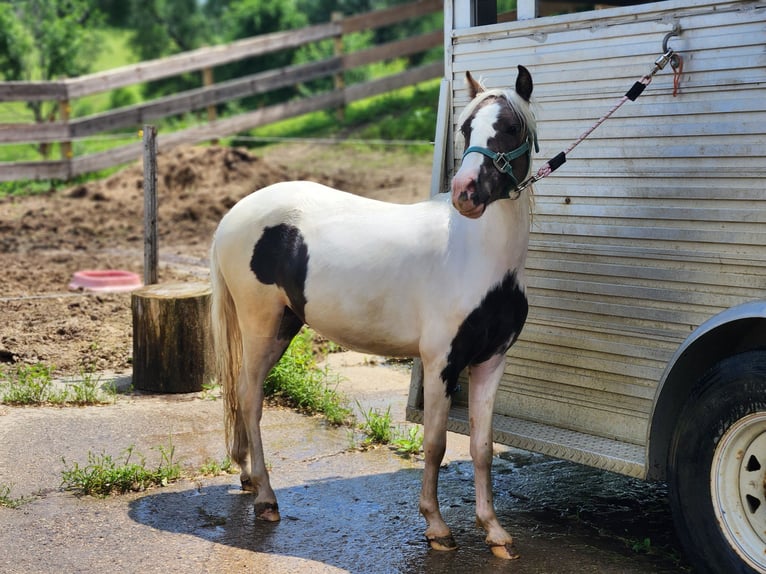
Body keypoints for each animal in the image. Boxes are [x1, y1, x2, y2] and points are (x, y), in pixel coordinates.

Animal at [207, 64, 536, 564]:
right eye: (466, 128)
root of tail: (233, 215)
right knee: (249, 398)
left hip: (282, 326)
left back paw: (248, 479)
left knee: (244, 399)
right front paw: (437, 528)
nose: (465, 194)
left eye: (511, 127)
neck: (477, 256)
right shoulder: (441, 363)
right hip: (261, 325)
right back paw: (266, 498)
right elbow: (436, 443)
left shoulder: (490, 362)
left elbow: (481, 447)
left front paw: (496, 532)